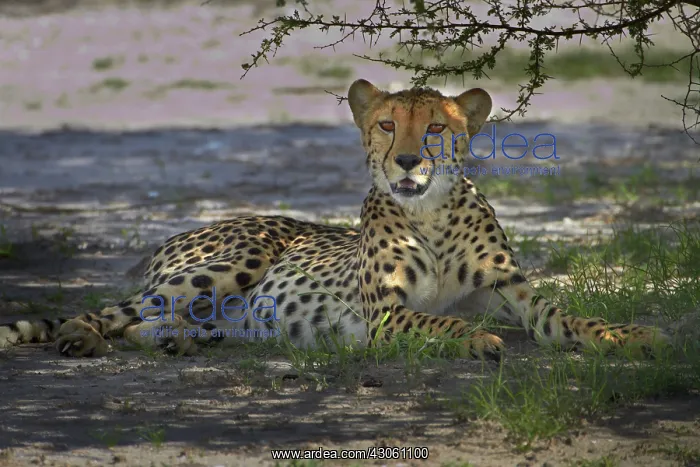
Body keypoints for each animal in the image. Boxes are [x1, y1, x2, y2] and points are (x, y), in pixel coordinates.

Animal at [0, 78, 671, 361]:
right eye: (386, 124)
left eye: (435, 127)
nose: (408, 159)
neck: (429, 213)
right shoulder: (387, 316)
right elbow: (444, 321)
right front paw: (476, 338)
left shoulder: (517, 295)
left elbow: (573, 318)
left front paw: (632, 335)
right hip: (235, 260)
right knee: (117, 311)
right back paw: (80, 336)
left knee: (149, 324)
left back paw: (180, 342)